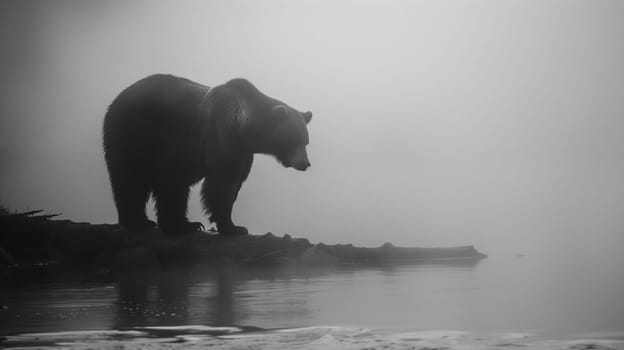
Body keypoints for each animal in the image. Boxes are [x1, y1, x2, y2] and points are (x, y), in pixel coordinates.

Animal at [102, 75, 312, 237]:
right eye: (294, 139)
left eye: (306, 141)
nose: (305, 163)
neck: (244, 129)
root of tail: (118, 98)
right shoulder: (220, 137)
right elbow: (221, 185)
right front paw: (233, 227)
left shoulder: (244, 152)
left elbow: (234, 183)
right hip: (134, 134)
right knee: (132, 179)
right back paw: (146, 223)